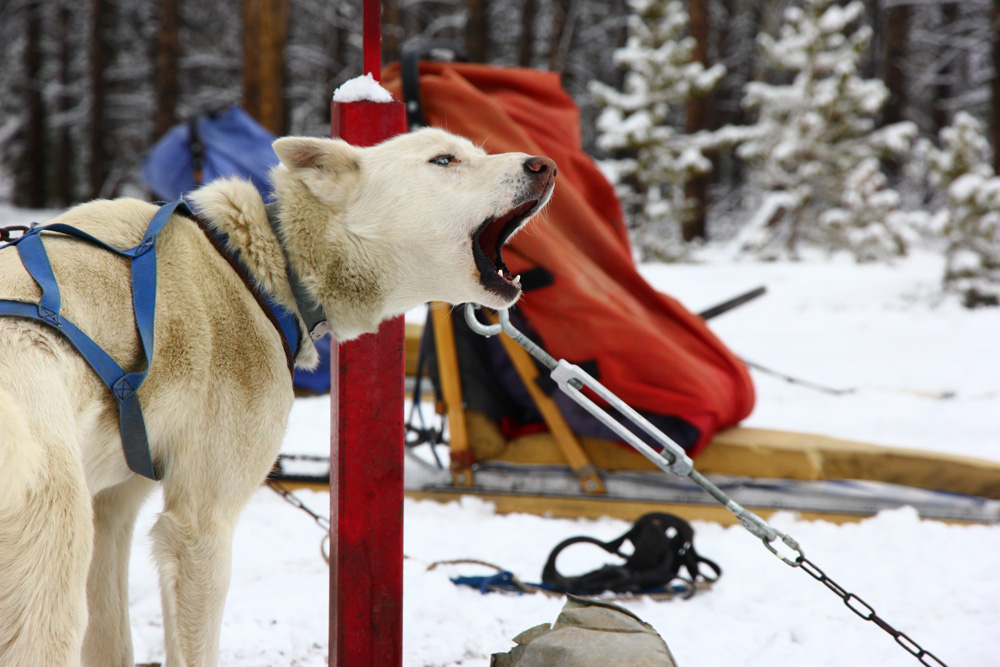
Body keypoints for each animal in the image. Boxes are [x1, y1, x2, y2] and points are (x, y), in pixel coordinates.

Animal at [0, 128, 556, 664]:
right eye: (444, 159)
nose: (545, 164)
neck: (258, 268)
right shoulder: (200, 526)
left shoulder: (113, 508)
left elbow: (114, 645)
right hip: (56, 565)